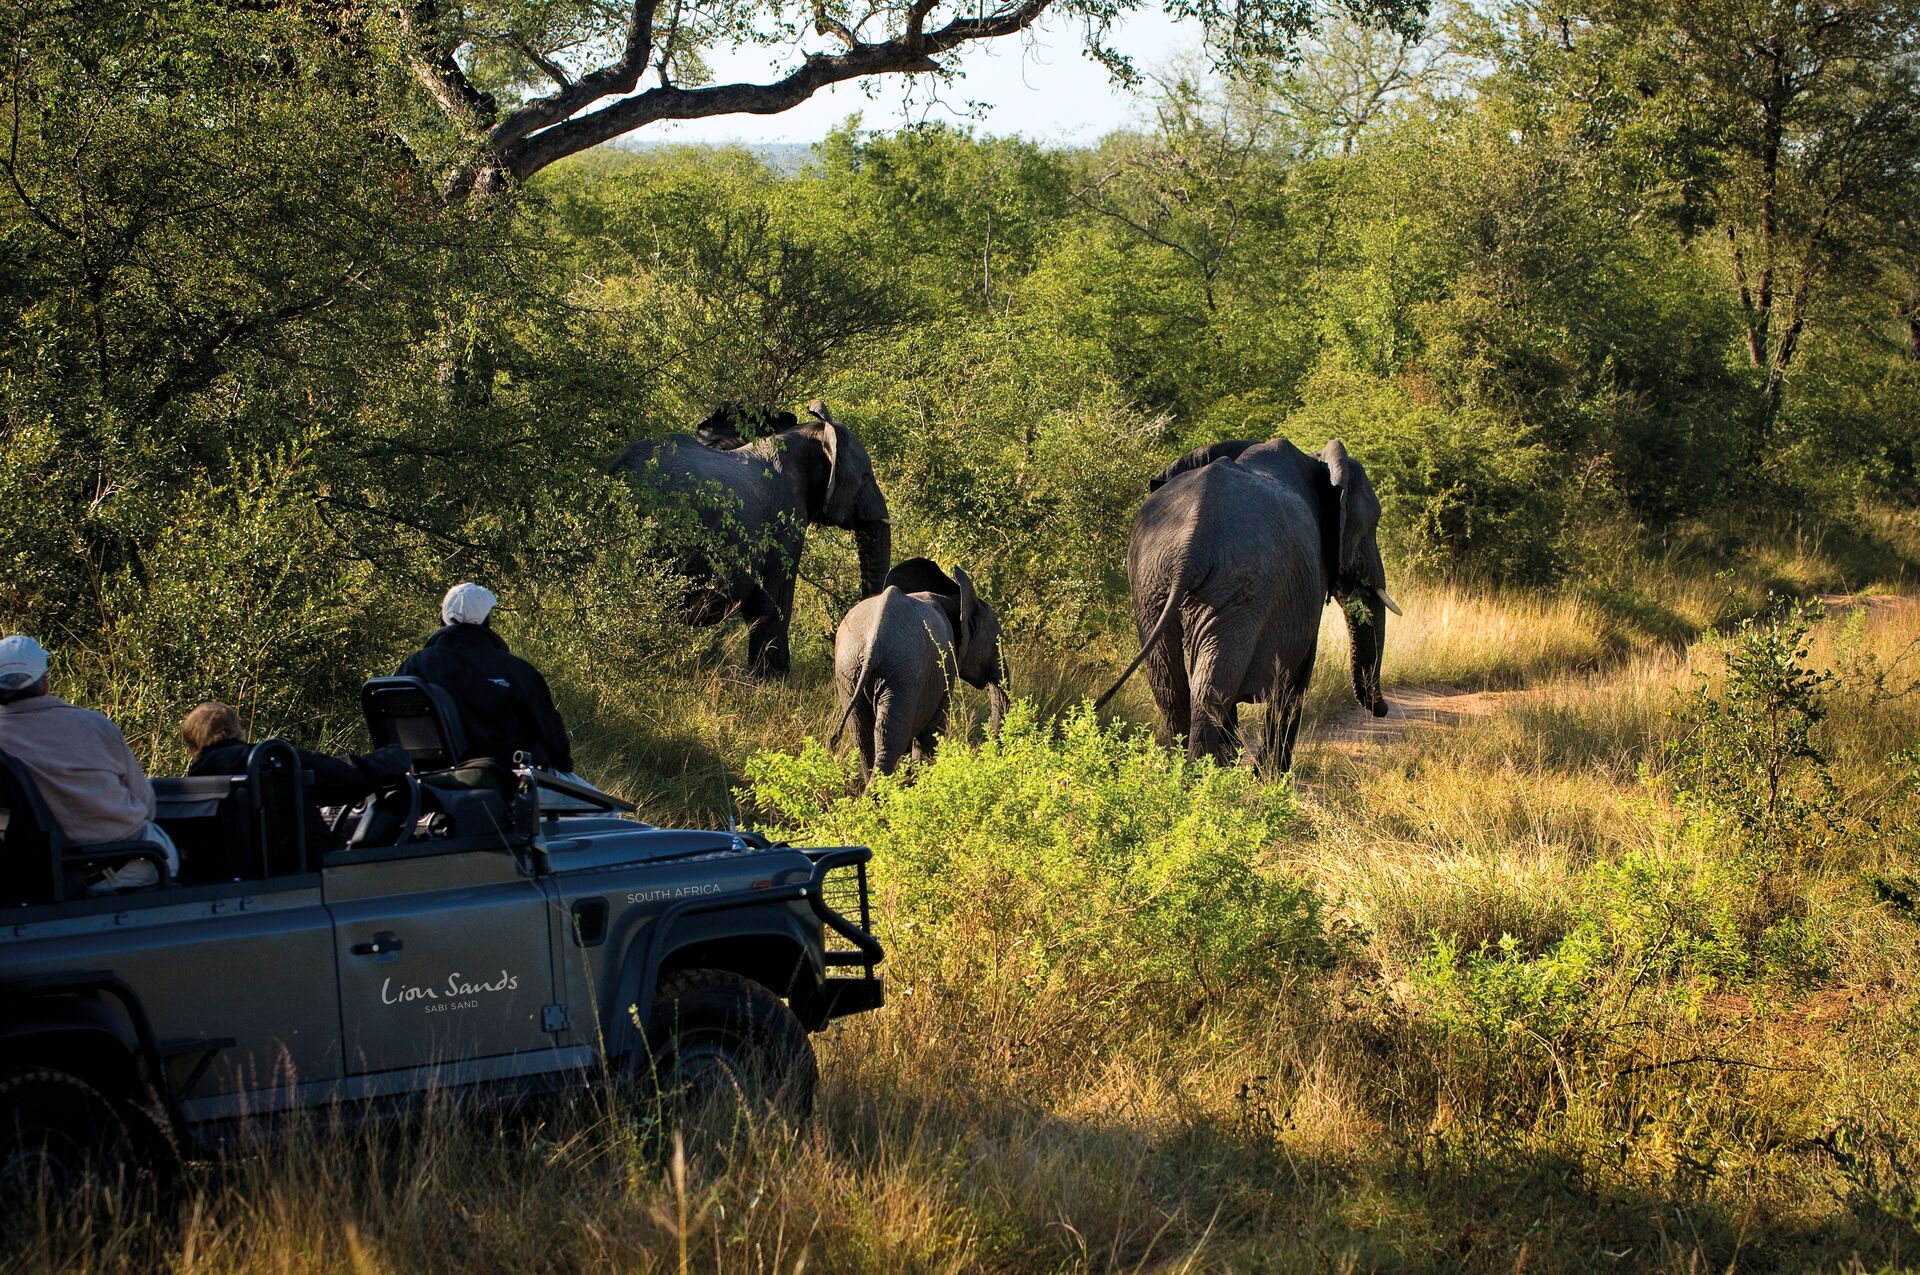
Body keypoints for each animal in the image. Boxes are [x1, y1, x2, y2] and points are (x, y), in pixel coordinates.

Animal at [831, 557, 1009, 782]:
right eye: (996, 643)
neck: (954, 597)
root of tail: (873, 645)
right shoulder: (945, 665)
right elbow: (932, 731)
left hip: (850, 673)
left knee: (864, 739)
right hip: (902, 675)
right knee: (889, 740)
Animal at [1095, 437, 1402, 775]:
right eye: (1372, 526)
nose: (1383, 709)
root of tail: (1191, 547)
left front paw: (1246, 767)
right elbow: (1296, 678)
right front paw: (1270, 777)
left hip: (1153, 586)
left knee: (1171, 686)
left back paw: (1195, 772)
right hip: (1238, 588)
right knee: (1211, 687)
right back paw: (1206, 776)